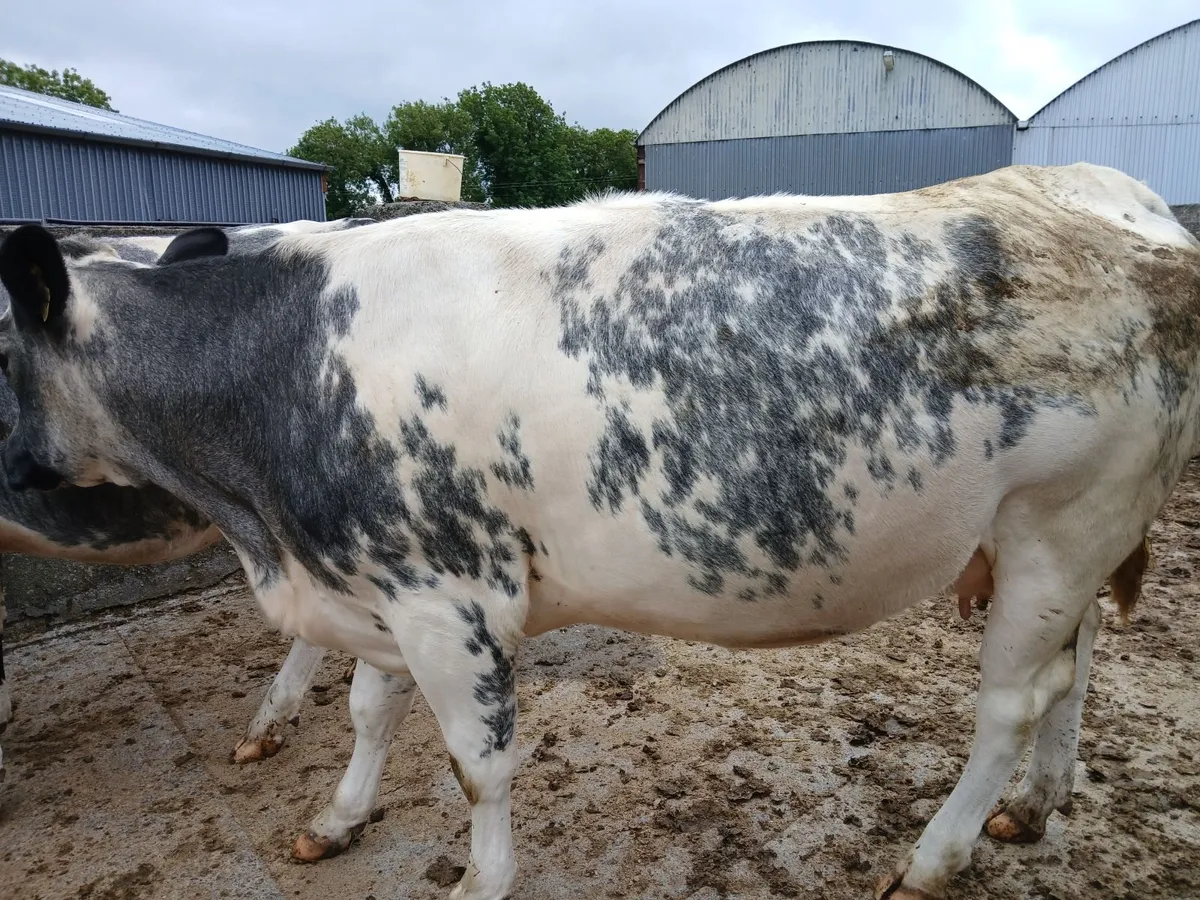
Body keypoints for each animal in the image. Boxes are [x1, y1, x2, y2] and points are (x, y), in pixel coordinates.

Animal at [0, 162, 1196, 900]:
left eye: (0, 350)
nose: (11, 478)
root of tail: (1122, 213)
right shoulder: (376, 573)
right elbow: (368, 714)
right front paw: (338, 819)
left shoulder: (449, 600)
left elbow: (478, 764)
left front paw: (480, 878)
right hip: (1067, 547)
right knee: (1073, 672)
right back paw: (1034, 809)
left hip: (1060, 523)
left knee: (1008, 706)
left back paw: (932, 858)